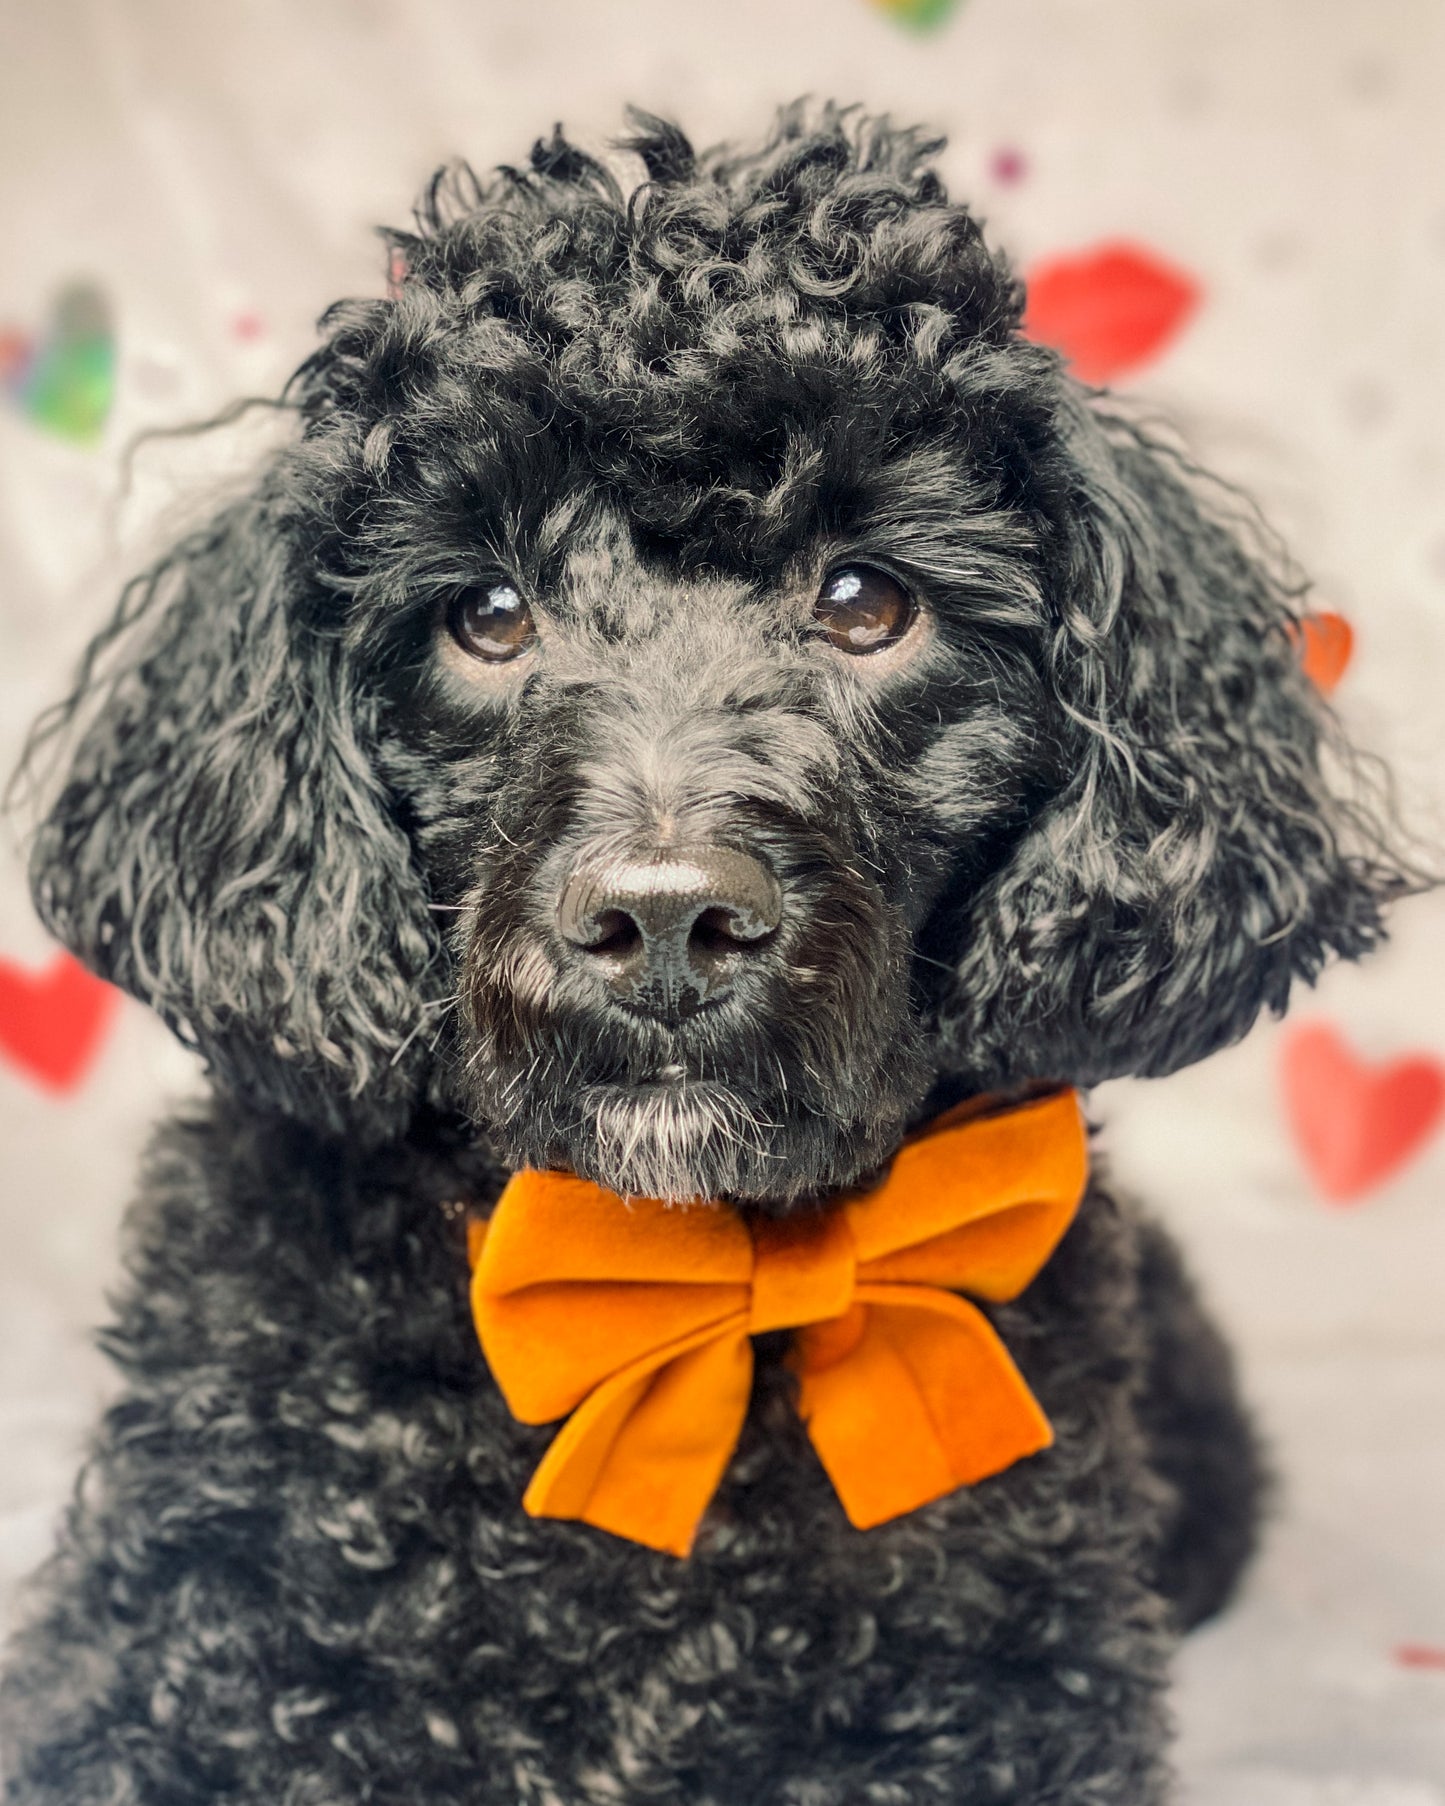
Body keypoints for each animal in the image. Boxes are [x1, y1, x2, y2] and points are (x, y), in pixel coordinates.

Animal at [0, 105, 1408, 1798]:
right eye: (488, 614)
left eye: (865, 599)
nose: (665, 917)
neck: (678, 1290)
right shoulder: (150, 1686)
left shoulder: (1007, 1717)